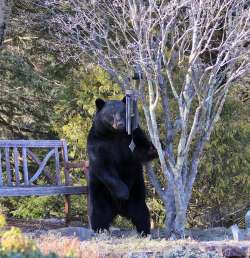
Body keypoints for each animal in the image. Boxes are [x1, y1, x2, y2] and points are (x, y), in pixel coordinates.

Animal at [87, 98, 157, 235]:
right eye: (111, 114)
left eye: (124, 112)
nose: (120, 124)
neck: (115, 134)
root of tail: (119, 211)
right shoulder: (98, 142)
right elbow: (103, 166)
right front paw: (123, 192)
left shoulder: (133, 136)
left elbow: (141, 150)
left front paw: (154, 147)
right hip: (100, 191)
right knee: (99, 213)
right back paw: (100, 229)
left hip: (137, 191)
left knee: (141, 212)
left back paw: (144, 231)